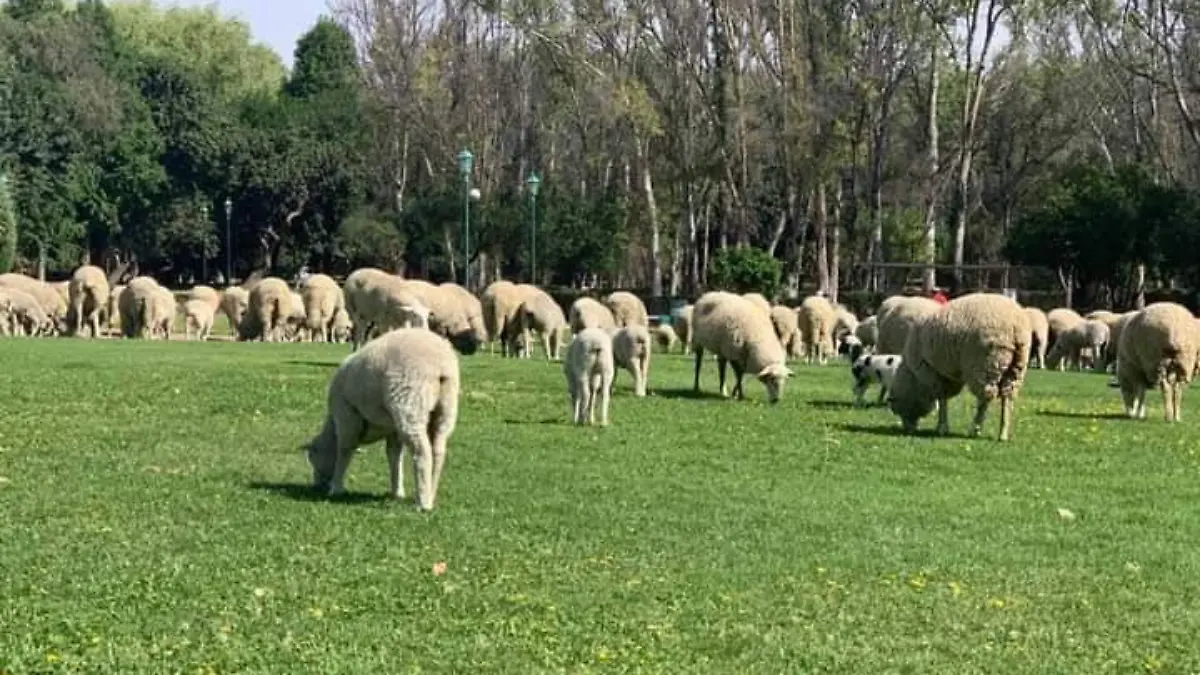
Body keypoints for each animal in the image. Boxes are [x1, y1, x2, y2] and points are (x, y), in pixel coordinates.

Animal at [302, 326, 460, 509]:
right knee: (438, 450)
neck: (333, 425)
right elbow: (394, 456)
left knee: (422, 451)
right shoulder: (392, 429)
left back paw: (423, 503)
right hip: (446, 408)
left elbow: (345, 450)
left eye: (313, 458)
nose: (317, 485)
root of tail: (440, 365)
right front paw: (396, 491)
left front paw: (336, 487)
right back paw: (430, 493)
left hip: (409, 401)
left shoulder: (347, 416)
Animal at [883, 290, 1032, 439]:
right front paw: (942, 426)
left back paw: (975, 429)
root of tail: (1016, 327)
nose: (908, 431)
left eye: (898, 408)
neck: (915, 379)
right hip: (1016, 368)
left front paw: (941, 427)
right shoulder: (948, 376)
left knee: (985, 397)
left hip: (985, 364)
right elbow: (944, 399)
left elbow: (942, 399)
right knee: (1007, 397)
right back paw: (1003, 433)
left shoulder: (934, 374)